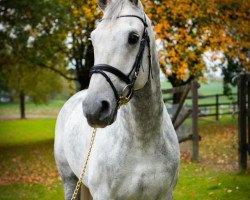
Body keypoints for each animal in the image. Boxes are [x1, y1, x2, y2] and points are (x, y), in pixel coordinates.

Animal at [54, 0, 180, 199]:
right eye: (93, 39)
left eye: (133, 37)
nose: (94, 109)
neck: (143, 144)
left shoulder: (165, 194)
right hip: (69, 179)